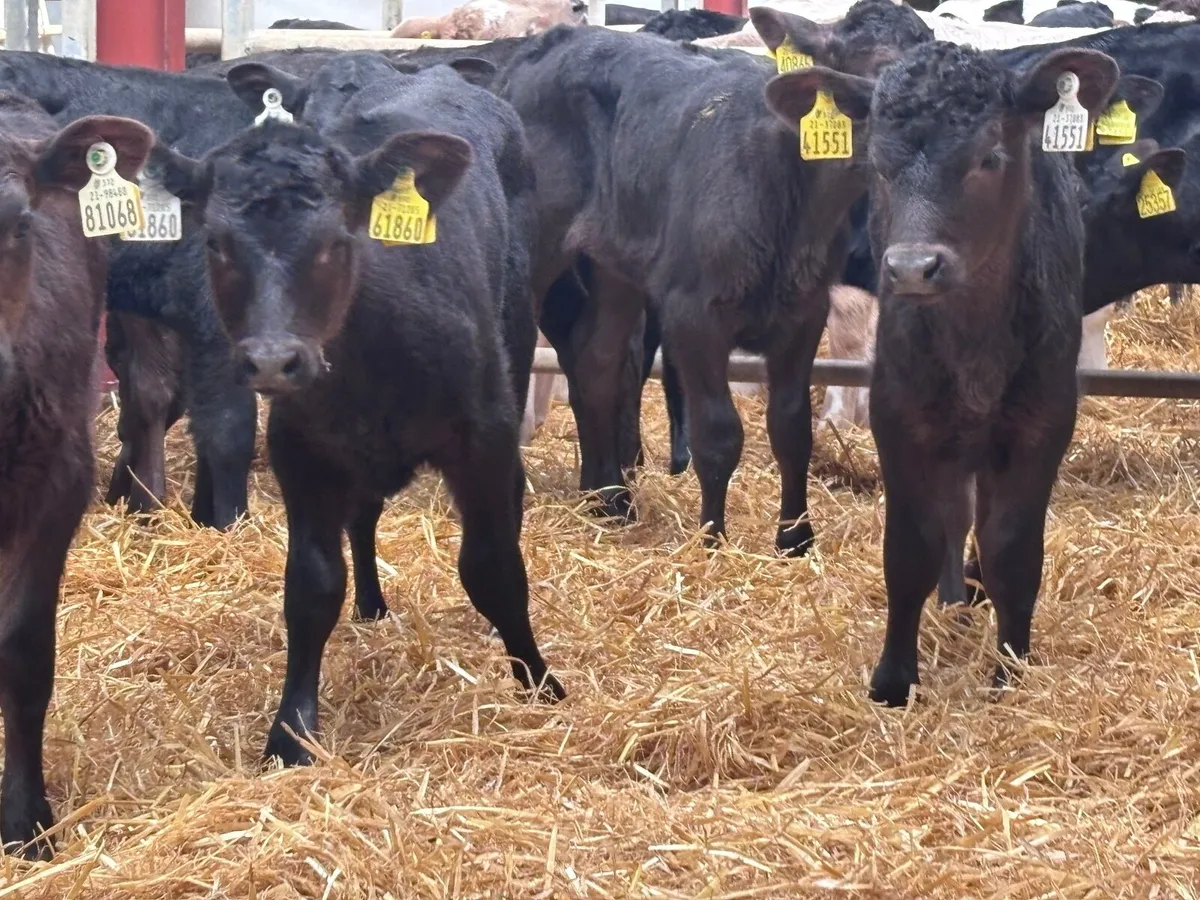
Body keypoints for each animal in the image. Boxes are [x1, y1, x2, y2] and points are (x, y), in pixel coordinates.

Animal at [156, 53, 564, 766]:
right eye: (215, 242)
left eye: (336, 240)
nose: (272, 361)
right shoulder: (303, 450)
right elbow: (312, 586)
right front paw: (290, 731)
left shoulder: (482, 434)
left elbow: (493, 566)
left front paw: (538, 682)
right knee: (364, 518)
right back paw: (372, 606)